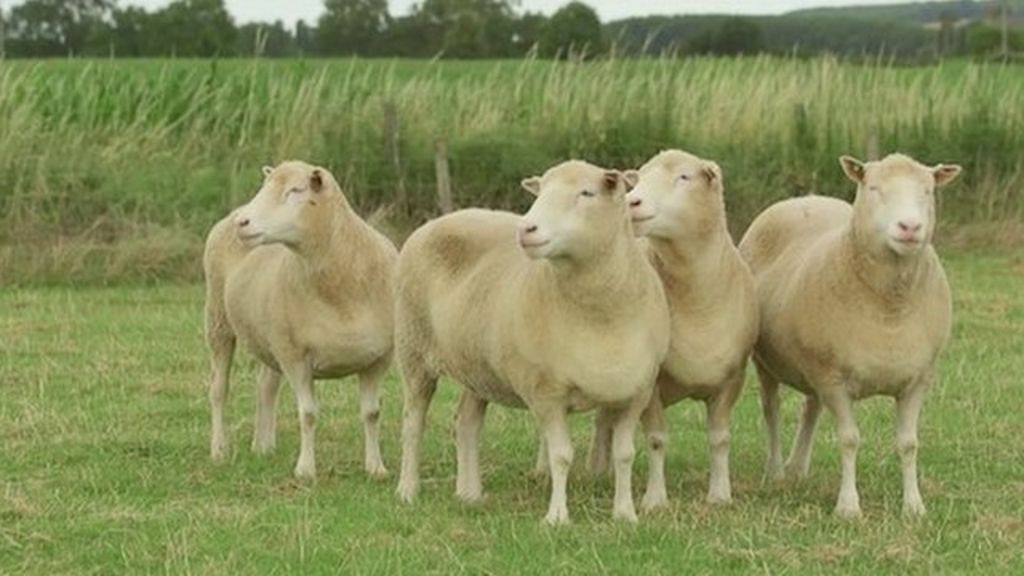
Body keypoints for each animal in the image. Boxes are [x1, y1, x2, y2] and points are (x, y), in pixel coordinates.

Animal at [203, 161, 398, 480]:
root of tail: (232, 212)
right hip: (218, 319)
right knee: (219, 388)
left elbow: (372, 413)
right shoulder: (295, 357)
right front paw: (306, 470)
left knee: (265, 386)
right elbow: (308, 414)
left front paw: (376, 467)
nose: (242, 223)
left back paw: (263, 445)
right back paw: (219, 449)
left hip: (268, 336)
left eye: (295, 190)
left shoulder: (379, 358)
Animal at [393, 160, 670, 524]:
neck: (602, 315)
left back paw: (469, 494)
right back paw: (407, 490)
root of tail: (438, 220)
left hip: (477, 367)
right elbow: (561, 456)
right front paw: (557, 518)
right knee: (413, 423)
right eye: (541, 192)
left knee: (466, 422)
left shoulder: (635, 392)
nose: (526, 229)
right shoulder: (547, 393)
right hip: (413, 350)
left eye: (587, 192)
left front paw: (625, 514)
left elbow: (624, 454)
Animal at [583, 150, 758, 509]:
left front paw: (720, 494)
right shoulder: (650, 383)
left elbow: (720, 439)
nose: (632, 202)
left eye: (684, 178)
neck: (697, 303)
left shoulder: (732, 380)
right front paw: (655, 499)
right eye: (639, 178)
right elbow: (656, 440)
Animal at [738, 153, 962, 518]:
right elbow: (849, 439)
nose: (910, 227)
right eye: (874, 188)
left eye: (928, 191)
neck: (890, 309)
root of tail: (804, 199)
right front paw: (848, 507)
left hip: (814, 365)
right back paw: (777, 472)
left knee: (810, 408)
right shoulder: (834, 379)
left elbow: (909, 444)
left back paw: (798, 468)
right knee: (772, 410)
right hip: (769, 362)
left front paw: (914, 506)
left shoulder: (918, 378)